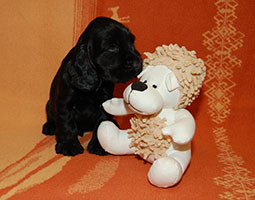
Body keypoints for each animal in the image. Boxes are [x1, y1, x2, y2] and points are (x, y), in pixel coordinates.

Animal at [41, 17, 141, 156]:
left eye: (132, 42)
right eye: (112, 47)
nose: (138, 62)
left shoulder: (104, 102)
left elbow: (102, 122)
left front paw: (99, 145)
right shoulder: (64, 103)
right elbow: (66, 124)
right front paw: (69, 145)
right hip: (49, 104)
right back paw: (50, 126)